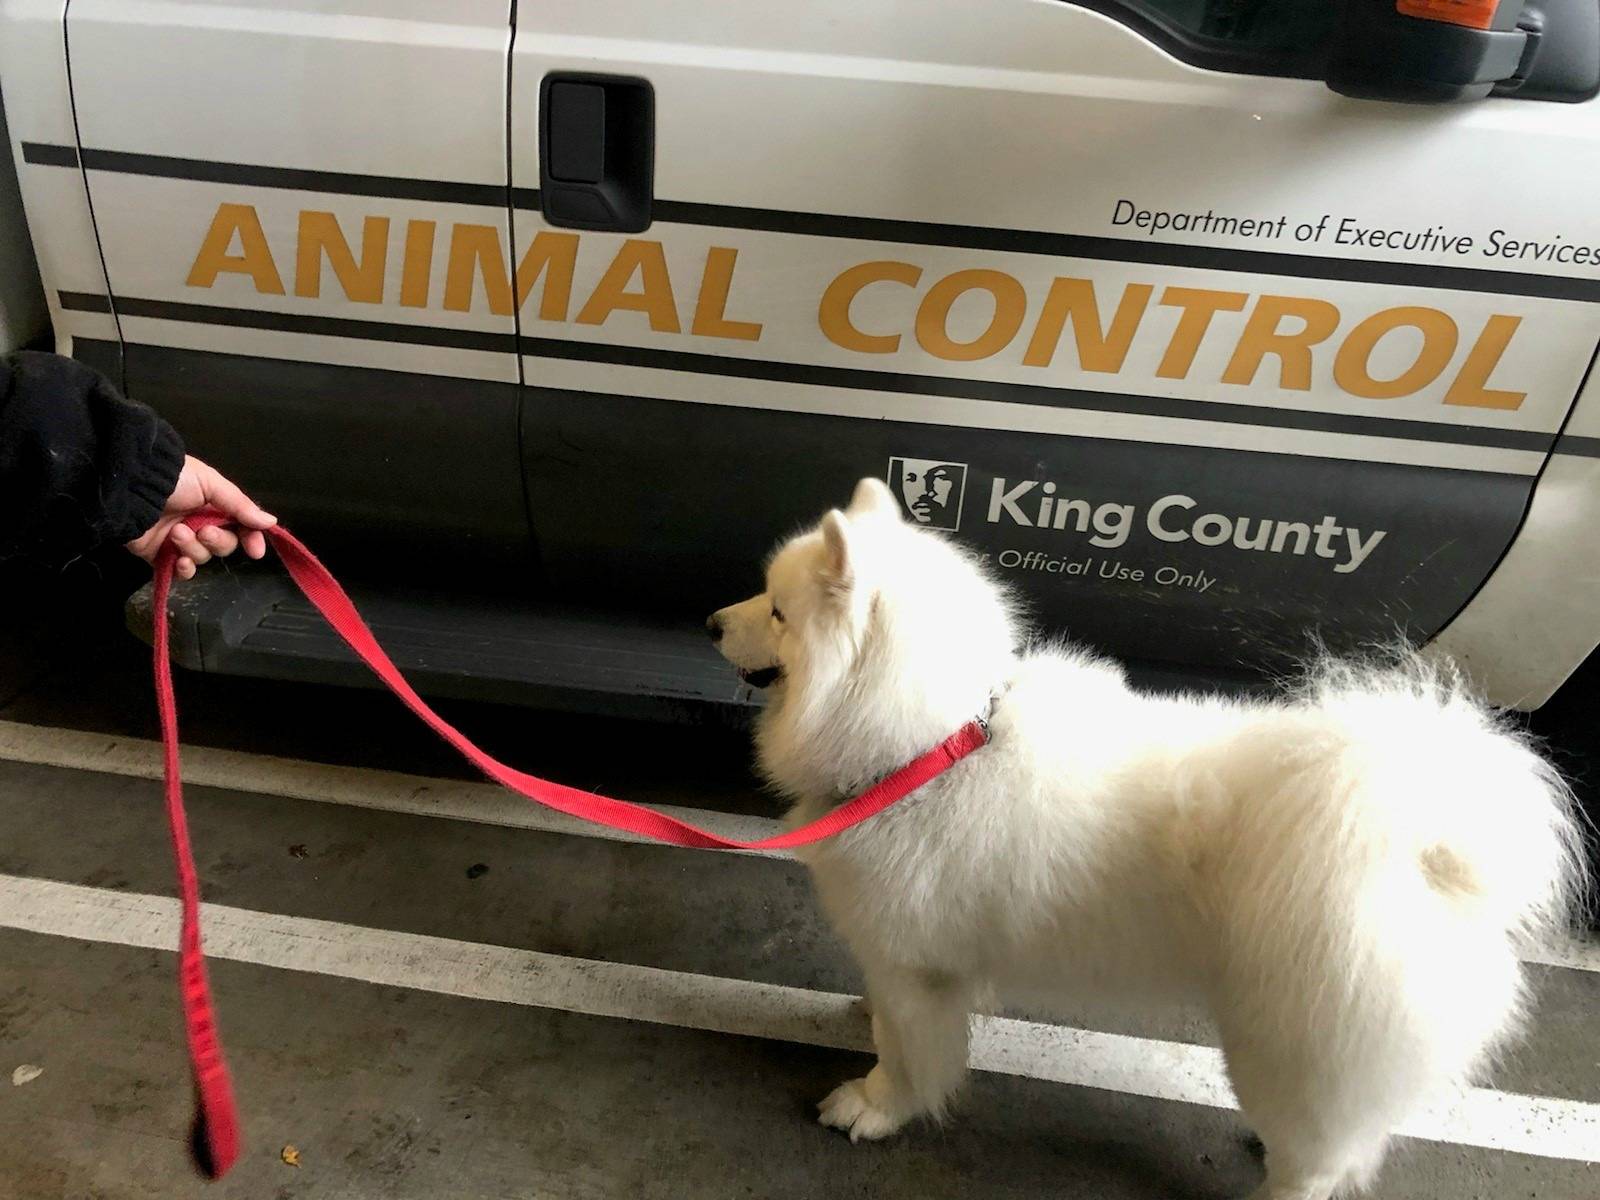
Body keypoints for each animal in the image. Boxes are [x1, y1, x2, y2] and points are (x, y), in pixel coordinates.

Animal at [710, 480, 1574, 1200]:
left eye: (779, 611)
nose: (713, 622)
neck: (931, 748)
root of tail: (1432, 851)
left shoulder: (917, 968)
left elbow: (907, 1053)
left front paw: (874, 1106)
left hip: (1289, 1035)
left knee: (1319, 1165)